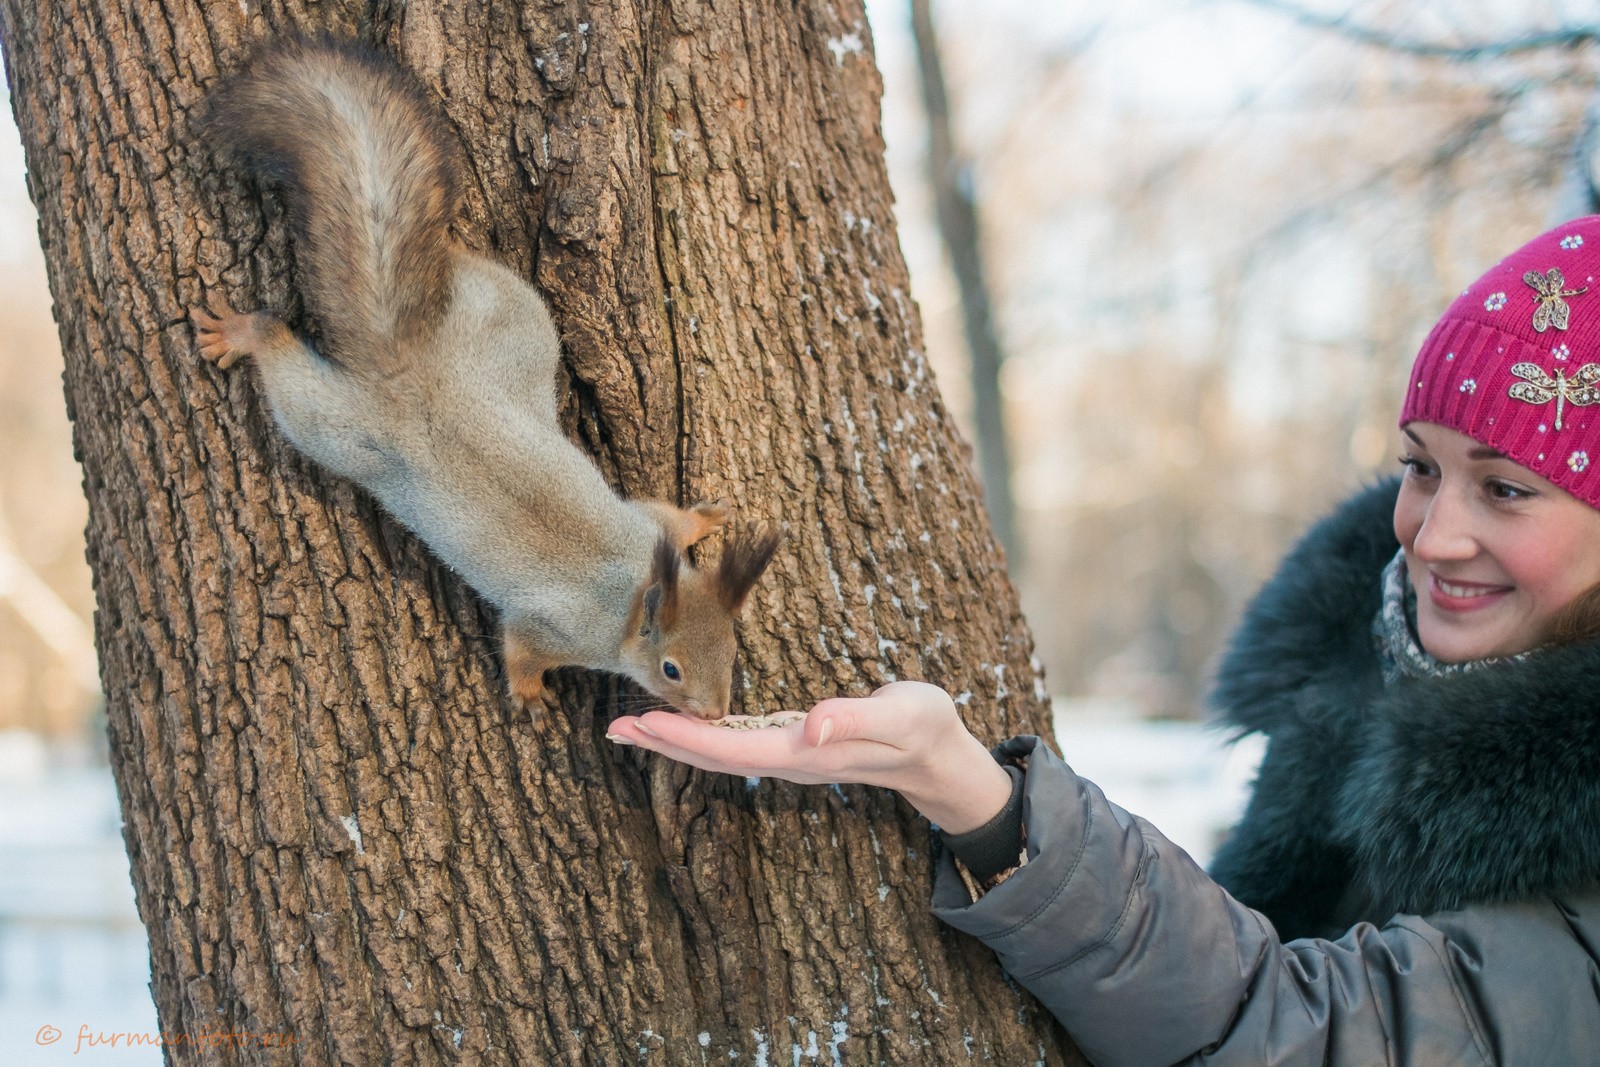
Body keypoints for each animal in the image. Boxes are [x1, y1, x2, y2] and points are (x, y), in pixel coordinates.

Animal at [188, 43, 780, 726]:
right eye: (671, 669)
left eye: (732, 648)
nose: (712, 714)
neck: (632, 588)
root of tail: (409, 366)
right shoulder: (555, 626)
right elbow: (520, 646)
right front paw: (528, 695)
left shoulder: (644, 524)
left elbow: (669, 518)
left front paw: (705, 519)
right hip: (334, 425)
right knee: (287, 369)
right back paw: (245, 335)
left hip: (510, 318)